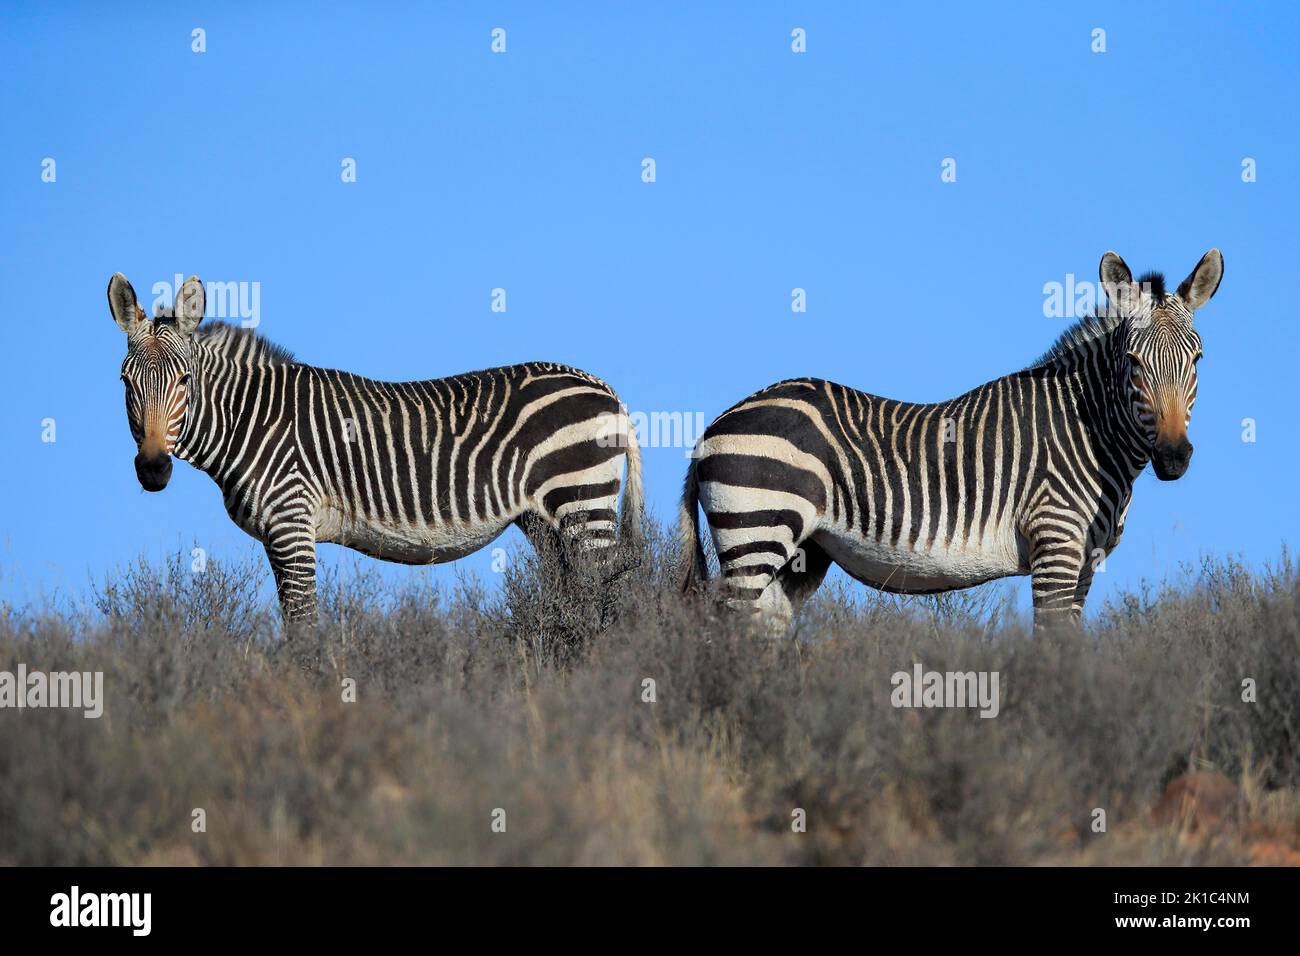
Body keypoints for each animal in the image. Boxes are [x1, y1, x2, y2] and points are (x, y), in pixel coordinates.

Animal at [107, 273, 644, 624]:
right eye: (126, 381)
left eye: (184, 380)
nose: (153, 469)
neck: (250, 419)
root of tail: (602, 386)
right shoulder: (276, 536)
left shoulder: (291, 524)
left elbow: (303, 628)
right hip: (544, 521)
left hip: (583, 505)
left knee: (610, 599)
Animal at [676, 251, 1222, 632]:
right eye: (1133, 362)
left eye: (1197, 360)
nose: (1173, 457)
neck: (1089, 431)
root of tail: (713, 427)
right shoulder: (1056, 544)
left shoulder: (1086, 563)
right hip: (756, 531)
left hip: (800, 554)